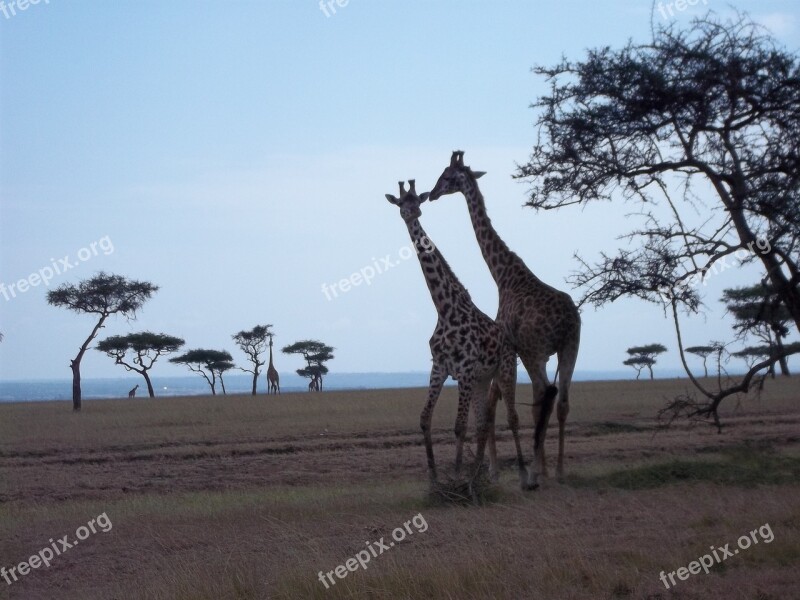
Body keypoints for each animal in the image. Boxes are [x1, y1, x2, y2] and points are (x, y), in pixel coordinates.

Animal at [384, 178, 528, 488]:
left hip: (504, 370)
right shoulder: (440, 367)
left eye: (418, 199)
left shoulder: (464, 370)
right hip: (482, 379)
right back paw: (484, 474)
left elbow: (459, 426)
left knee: (512, 417)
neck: (444, 308)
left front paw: (458, 477)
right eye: (401, 202)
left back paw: (523, 475)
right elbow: (425, 419)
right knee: (484, 421)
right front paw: (434, 478)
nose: (412, 213)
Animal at [432, 152, 580, 486]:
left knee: (543, 396)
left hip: (534, 351)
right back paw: (559, 470)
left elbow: (494, 406)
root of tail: (567, 321)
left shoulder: (512, 350)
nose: (431, 194)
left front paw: (496, 469)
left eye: (446, 176)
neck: (503, 275)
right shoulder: (524, 354)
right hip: (571, 346)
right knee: (562, 401)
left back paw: (538, 470)